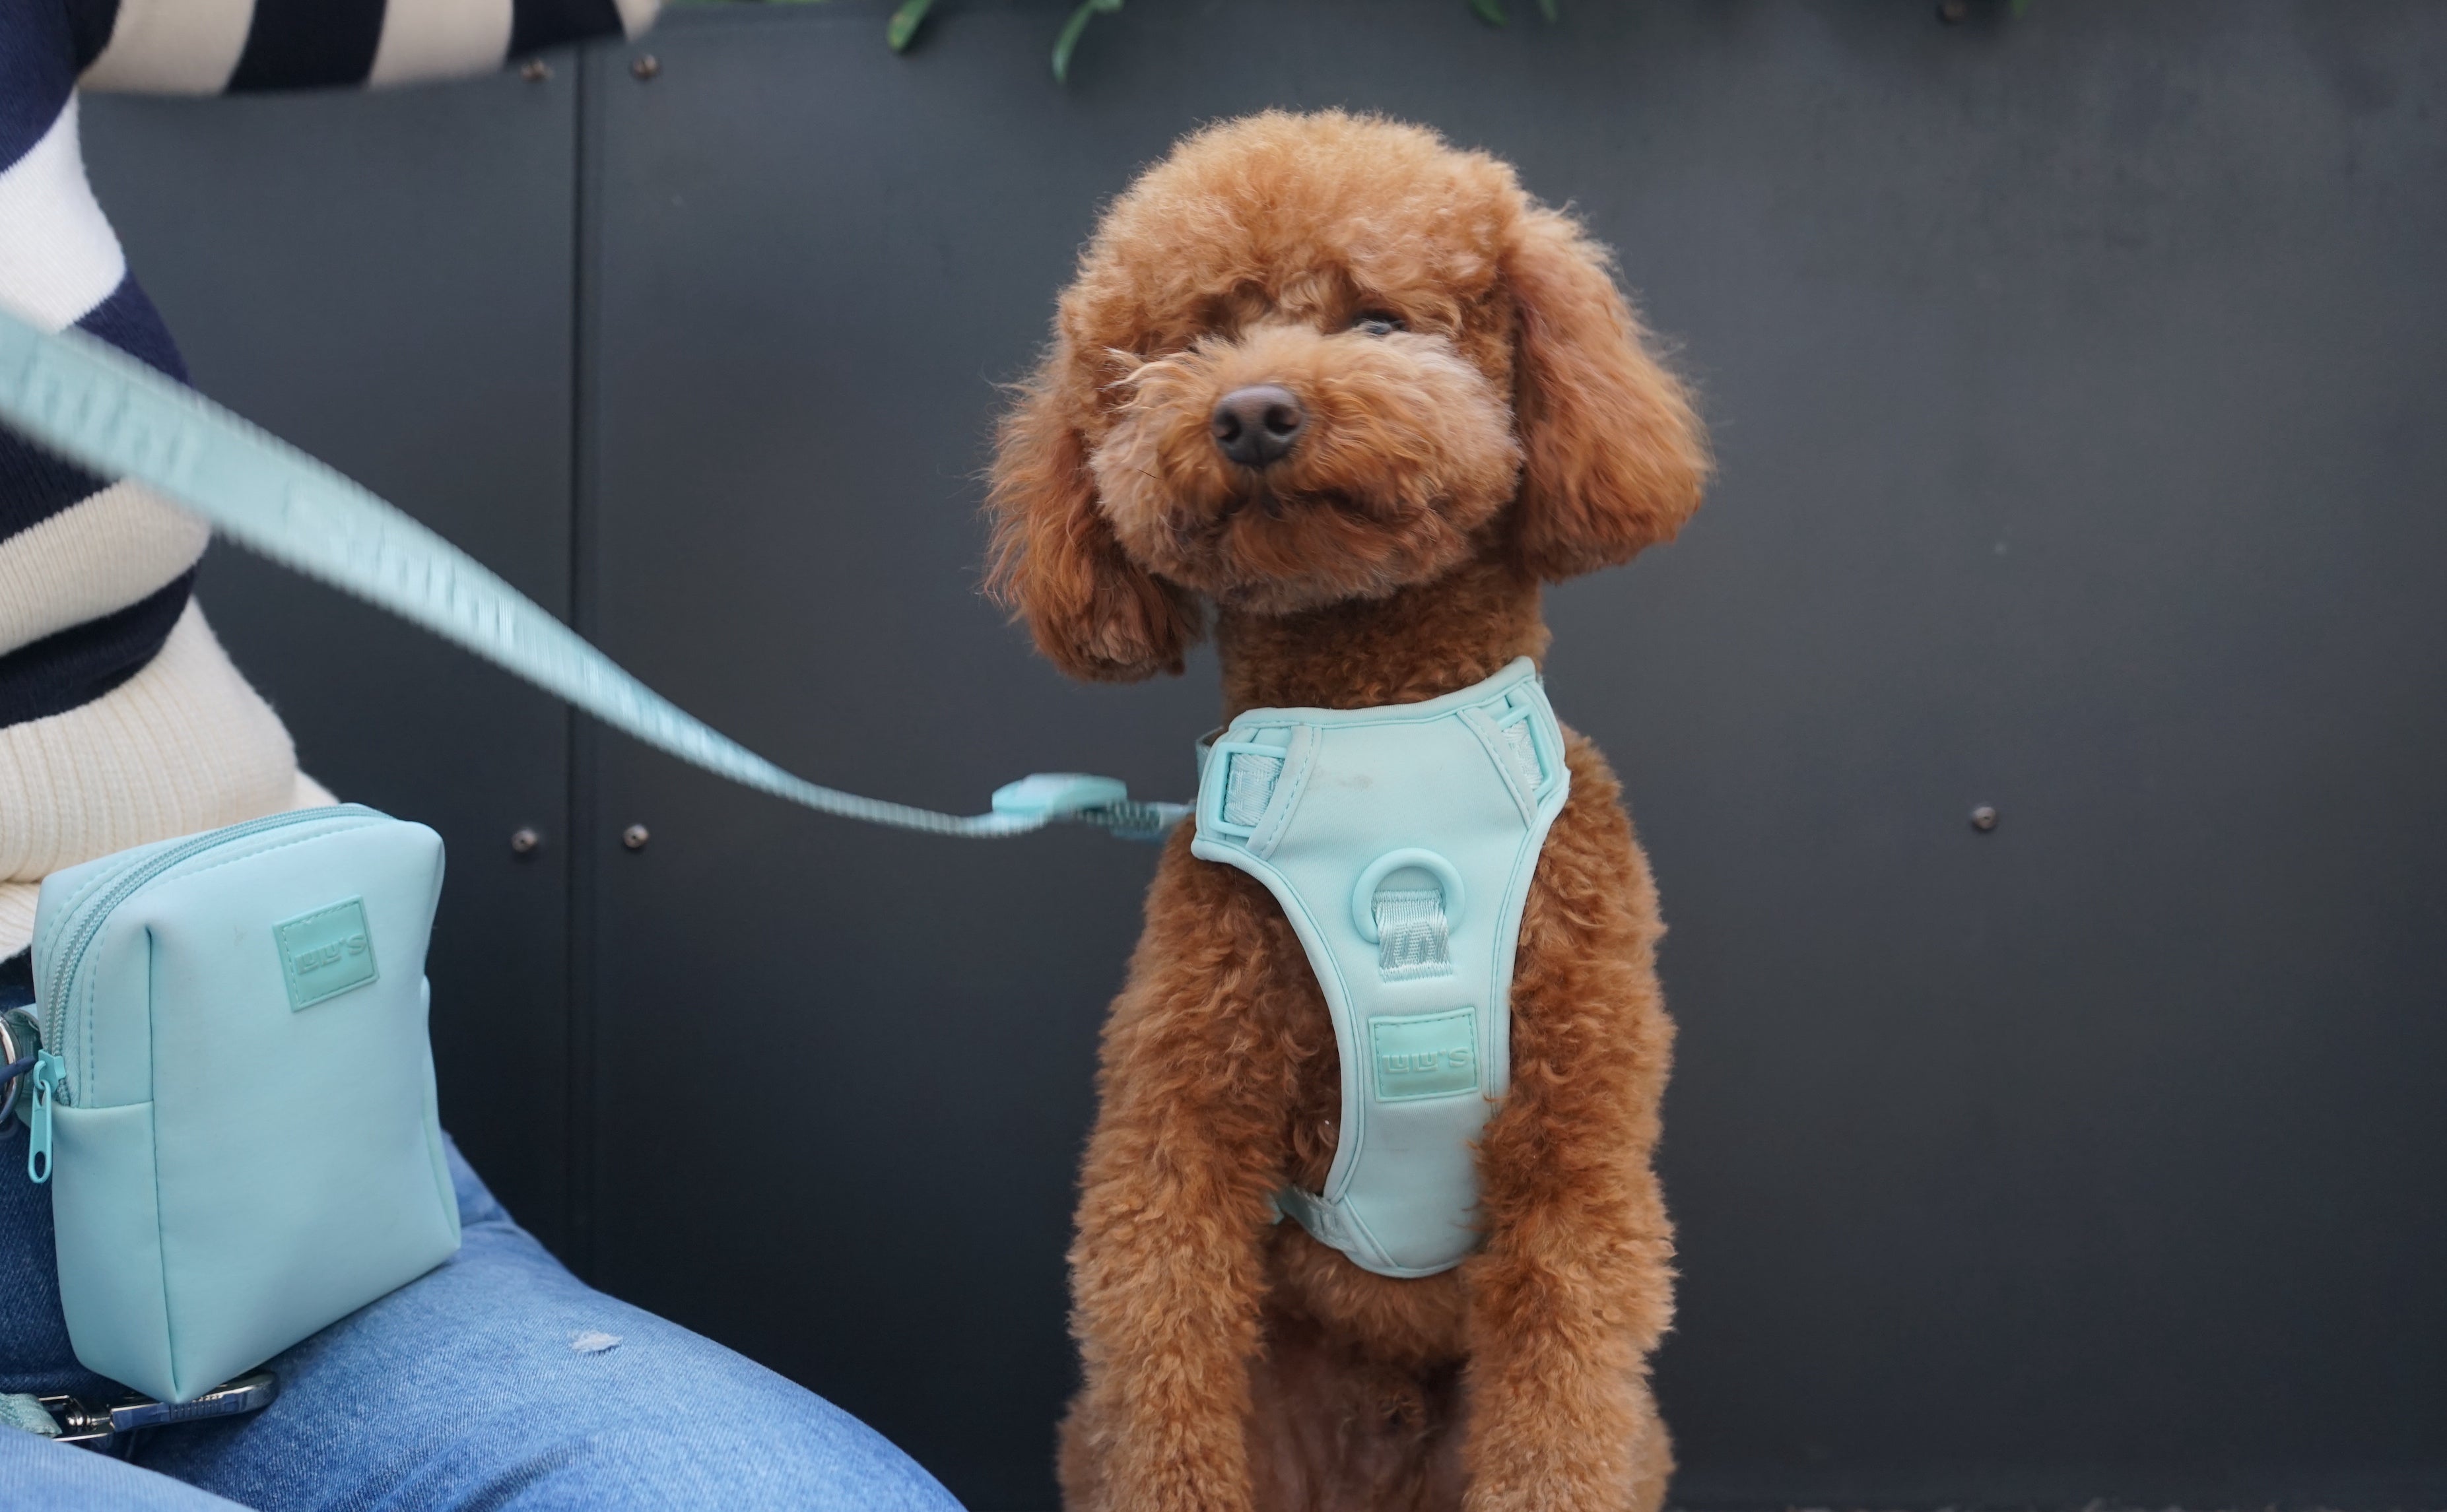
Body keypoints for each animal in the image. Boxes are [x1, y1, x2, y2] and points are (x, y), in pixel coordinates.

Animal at [984, 108, 1712, 1507]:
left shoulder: (1574, 1144)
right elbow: (1163, 1377)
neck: (1381, 730)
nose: (1252, 412)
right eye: (1189, 342)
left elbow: (1562, 1416)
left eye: (1378, 320)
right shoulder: (1179, 1134)